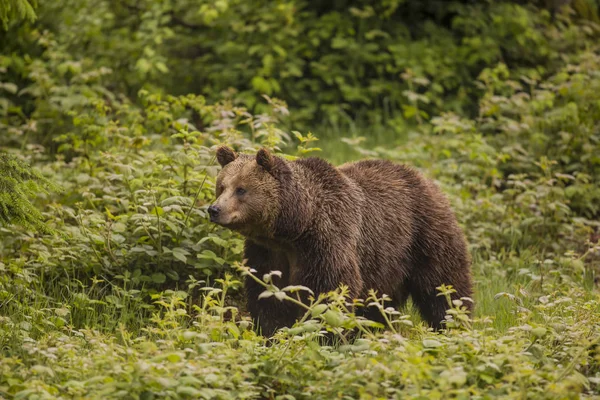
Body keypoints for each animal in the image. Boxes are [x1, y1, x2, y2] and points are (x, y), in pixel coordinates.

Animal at [210, 145, 474, 336]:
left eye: (241, 189)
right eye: (221, 186)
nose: (214, 209)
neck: (295, 228)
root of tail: (425, 179)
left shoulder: (327, 241)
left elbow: (330, 292)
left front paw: (326, 335)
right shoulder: (267, 252)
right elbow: (267, 295)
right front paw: (272, 333)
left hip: (424, 235)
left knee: (444, 286)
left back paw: (455, 324)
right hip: (386, 263)